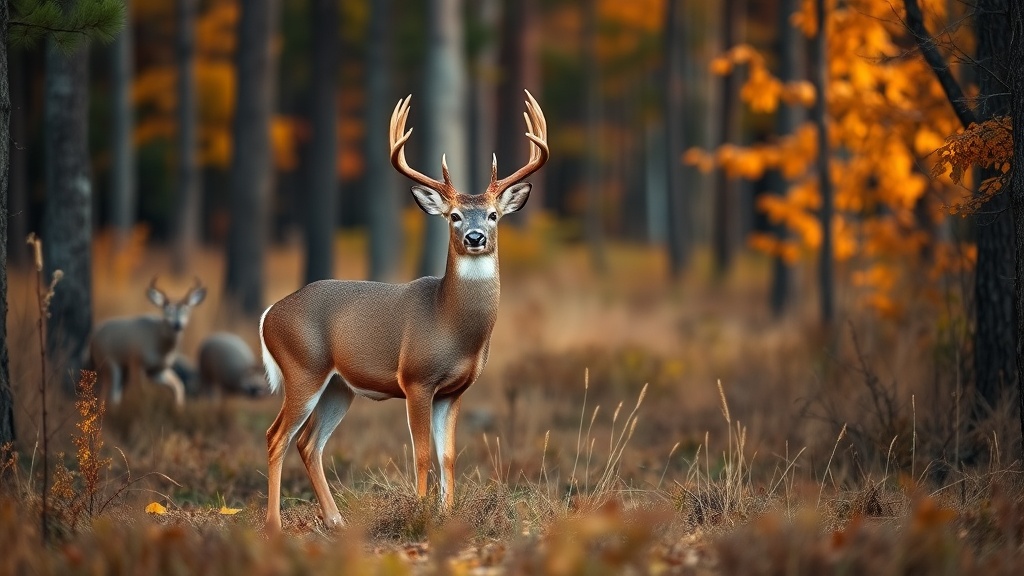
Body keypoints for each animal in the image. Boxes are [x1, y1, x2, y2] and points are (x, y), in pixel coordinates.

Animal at [88, 278, 207, 408]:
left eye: (186, 310)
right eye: (166, 311)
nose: (177, 324)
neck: (160, 345)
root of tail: (93, 338)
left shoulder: (157, 371)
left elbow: (177, 385)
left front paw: (179, 408)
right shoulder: (137, 361)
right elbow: (140, 390)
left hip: (119, 369)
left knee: (106, 391)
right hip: (110, 362)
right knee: (112, 392)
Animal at [260, 90, 548, 532]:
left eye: (494, 214)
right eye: (454, 215)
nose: (475, 237)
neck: (451, 324)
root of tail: (270, 313)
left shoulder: (454, 390)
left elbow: (448, 455)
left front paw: (446, 515)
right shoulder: (415, 378)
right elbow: (422, 453)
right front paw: (421, 513)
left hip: (339, 386)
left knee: (308, 443)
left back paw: (336, 520)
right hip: (303, 368)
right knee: (277, 436)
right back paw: (275, 525)